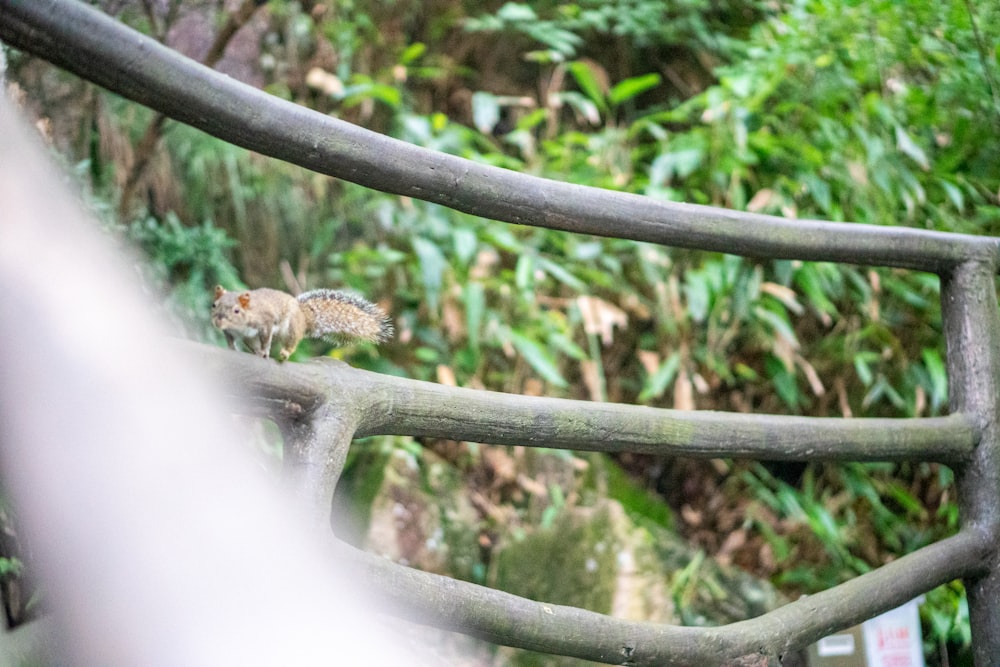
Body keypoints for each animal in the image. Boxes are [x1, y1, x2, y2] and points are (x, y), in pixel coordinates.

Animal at [213, 286, 392, 362]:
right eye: (214, 305)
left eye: (236, 311)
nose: (218, 321)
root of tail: (303, 318)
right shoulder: (236, 333)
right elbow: (232, 340)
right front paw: (233, 349)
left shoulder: (266, 322)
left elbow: (266, 340)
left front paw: (264, 352)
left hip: (291, 328)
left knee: (292, 342)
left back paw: (285, 353)